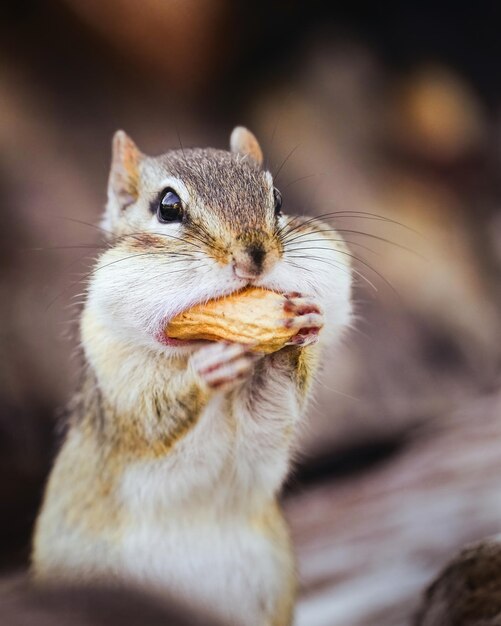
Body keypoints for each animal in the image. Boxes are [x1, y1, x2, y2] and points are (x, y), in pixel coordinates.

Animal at [32, 127, 352, 624]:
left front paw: (299, 328)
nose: (255, 258)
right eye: (167, 207)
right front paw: (205, 372)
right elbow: (153, 419)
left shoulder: (263, 432)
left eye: (278, 199)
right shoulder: (119, 386)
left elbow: (272, 413)